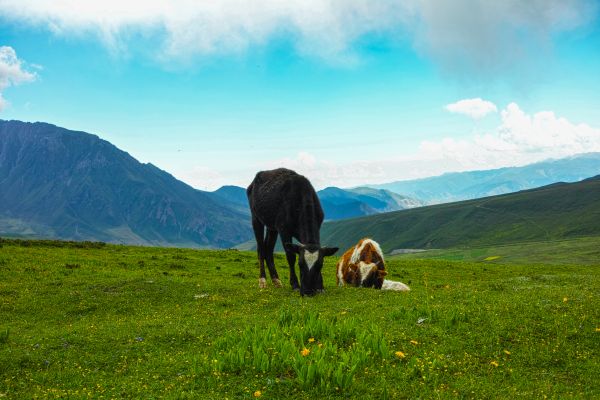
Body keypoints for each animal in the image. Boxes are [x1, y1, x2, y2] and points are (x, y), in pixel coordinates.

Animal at [245, 167, 338, 296]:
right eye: (300, 264)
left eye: (320, 265)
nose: (308, 291)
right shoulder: (284, 230)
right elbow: (290, 256)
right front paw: (295, 284)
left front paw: (320, 286)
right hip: (256, 218)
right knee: (261, 249)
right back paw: (262, 280)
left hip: (272, 227)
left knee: (268, 249)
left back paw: (276, 280)